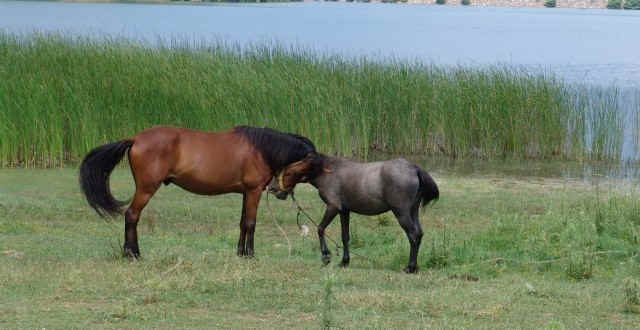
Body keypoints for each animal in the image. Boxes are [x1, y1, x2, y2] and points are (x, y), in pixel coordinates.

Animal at [79, 125, 320, 258]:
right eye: (303, 170)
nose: (279, 192)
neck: (259, 149)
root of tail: (136, 139)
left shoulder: (245, 193)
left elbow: (243, 223)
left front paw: (240, 253)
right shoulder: (253, 192)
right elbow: (251, 223)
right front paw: (251, 254)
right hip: (146, 189)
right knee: (131, 215)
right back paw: (133, 254)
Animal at [268, 155, 438, 274]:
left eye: (288, 172)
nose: (272, 188)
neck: (328, 171)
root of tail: (414, 168)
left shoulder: (333, 207)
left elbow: (320, 229)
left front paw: (326, 256)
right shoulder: (344, 211)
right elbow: (345, 236)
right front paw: (344, 262)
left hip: (401, 213)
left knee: (413, 235)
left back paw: (410, 267)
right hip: (413, 211)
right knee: (419, 234)